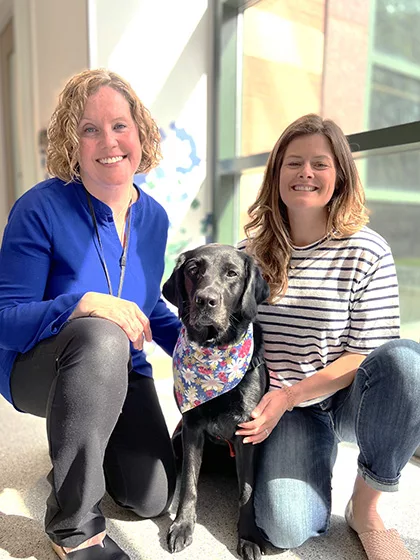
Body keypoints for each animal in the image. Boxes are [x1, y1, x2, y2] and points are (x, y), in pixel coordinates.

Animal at [161, 244, 270, 560]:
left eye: (232, 273)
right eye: (193, 270)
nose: (205, 300)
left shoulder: (248, 431)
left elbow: (247, 490)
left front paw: (248, 537)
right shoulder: (191, 428)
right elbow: (189, 483)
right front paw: (182, 525)